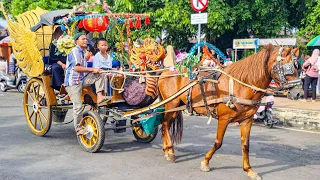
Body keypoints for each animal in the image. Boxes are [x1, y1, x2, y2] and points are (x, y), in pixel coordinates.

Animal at [158, 45, 300, 180]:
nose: (299, 93)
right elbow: (218, 142)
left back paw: (167, 150)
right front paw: (205, 162)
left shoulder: (247, 120)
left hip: (177, 107)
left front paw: (249, 170)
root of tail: (166, 71)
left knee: (166, 124)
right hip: (171, 103)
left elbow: (245, 145)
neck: (241, 85)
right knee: (164, 122)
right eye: (288, 67)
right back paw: (170, 152)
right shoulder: (224, 118)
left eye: (297, 67)